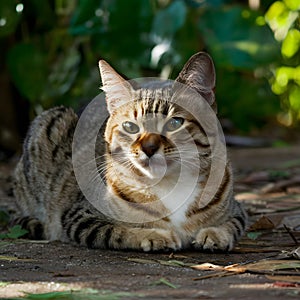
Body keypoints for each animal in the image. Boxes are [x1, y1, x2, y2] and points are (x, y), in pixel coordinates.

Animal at [12, 52, 247, 252]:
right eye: (130, 127)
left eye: (175, 123)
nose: (149, 148)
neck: (170, 184)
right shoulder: (80, 216)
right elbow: (118, 231)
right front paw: (156, 236)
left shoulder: (237, 210)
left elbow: (233, 225)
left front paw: (215, 235)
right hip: (50, 121)